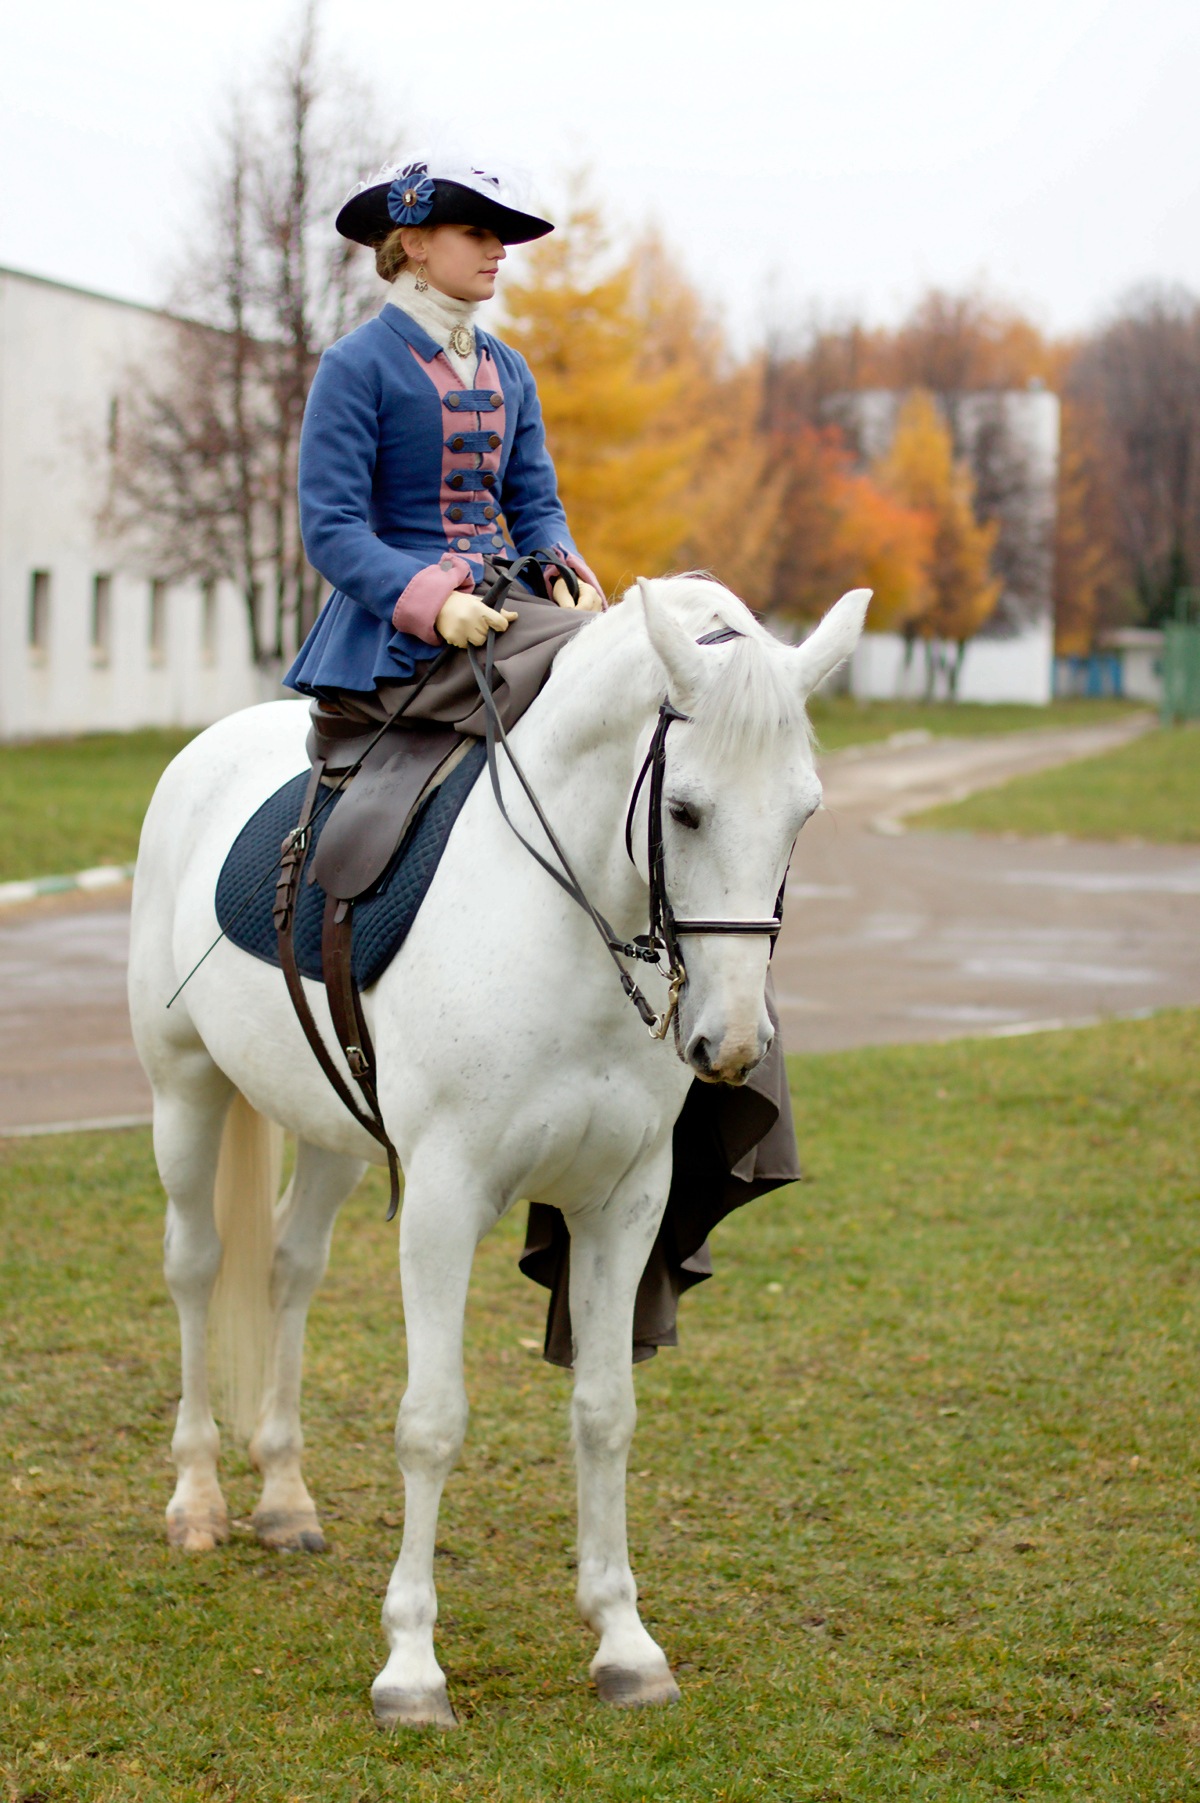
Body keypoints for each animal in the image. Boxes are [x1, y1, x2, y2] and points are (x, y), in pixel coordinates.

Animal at [127, 574, 869, 1727]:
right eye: (686, 809)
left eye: (805, 812)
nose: (733, 1044)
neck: (563, 922)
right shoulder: (445, 1198)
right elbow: (431, 1421)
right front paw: (411, 1665)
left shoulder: (624, 1202)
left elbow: (606, 1411)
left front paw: (624, 1640)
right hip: (186, 1092)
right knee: (199, 1270)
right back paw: (197, 1497)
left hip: (332, 1126)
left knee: (290, 1269)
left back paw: (284, 1495)